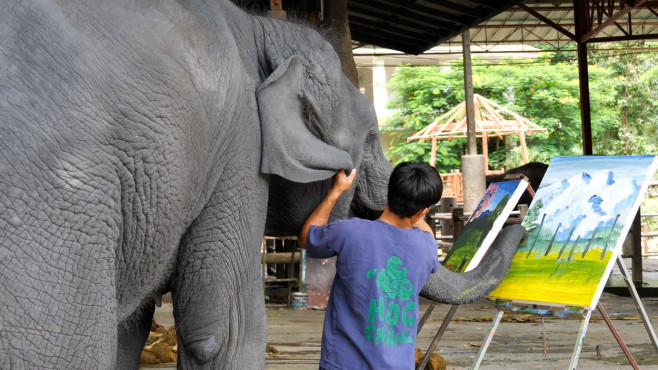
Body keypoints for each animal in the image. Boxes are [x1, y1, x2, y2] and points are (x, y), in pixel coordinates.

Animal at [0, 1, 524, 368]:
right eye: (373, 139)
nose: (520, 222)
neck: (259, 29)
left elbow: (131, 330)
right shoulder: (238, 150)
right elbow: (223, 331)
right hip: (59, 206)